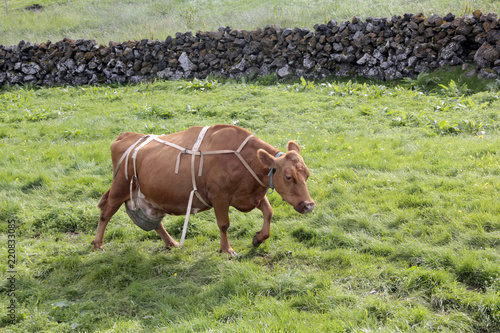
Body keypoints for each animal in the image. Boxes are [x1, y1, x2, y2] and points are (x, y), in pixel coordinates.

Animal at [92, 123, 314, 253]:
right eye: (288, 176)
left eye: (307, 175)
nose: (309, 205)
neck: (246, 161)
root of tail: (126, 136)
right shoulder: (219, 197)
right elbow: (224, 224)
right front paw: (226, 249)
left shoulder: (250, 196)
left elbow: (269, 212)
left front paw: (258, 238)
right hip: (120, 187)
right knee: (106, 212)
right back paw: (97, 243)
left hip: (149, 196)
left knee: (154, 221)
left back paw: (171, 243)